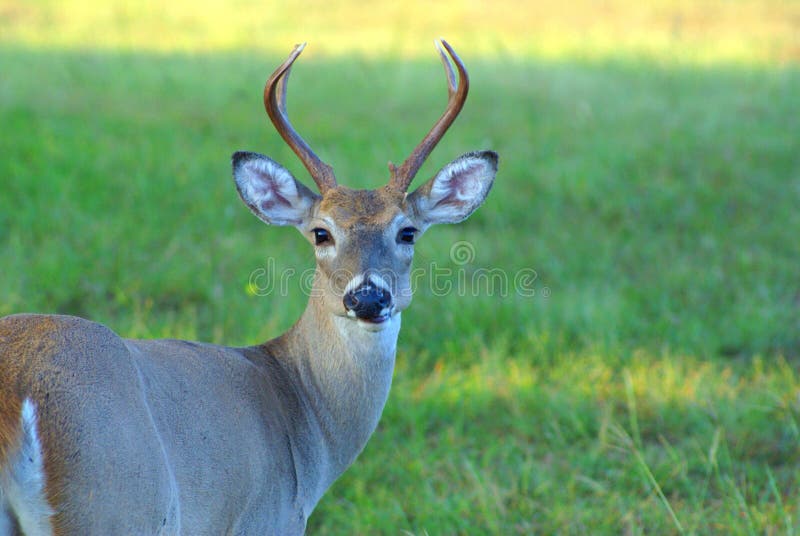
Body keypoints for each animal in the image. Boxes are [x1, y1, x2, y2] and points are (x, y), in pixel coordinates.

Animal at [0, 40, 497, 535]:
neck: (302, 409)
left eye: (407, 231)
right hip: (115, 502)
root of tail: (16, 398)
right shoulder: (267, 518)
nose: (368, 297)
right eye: (321, 233)